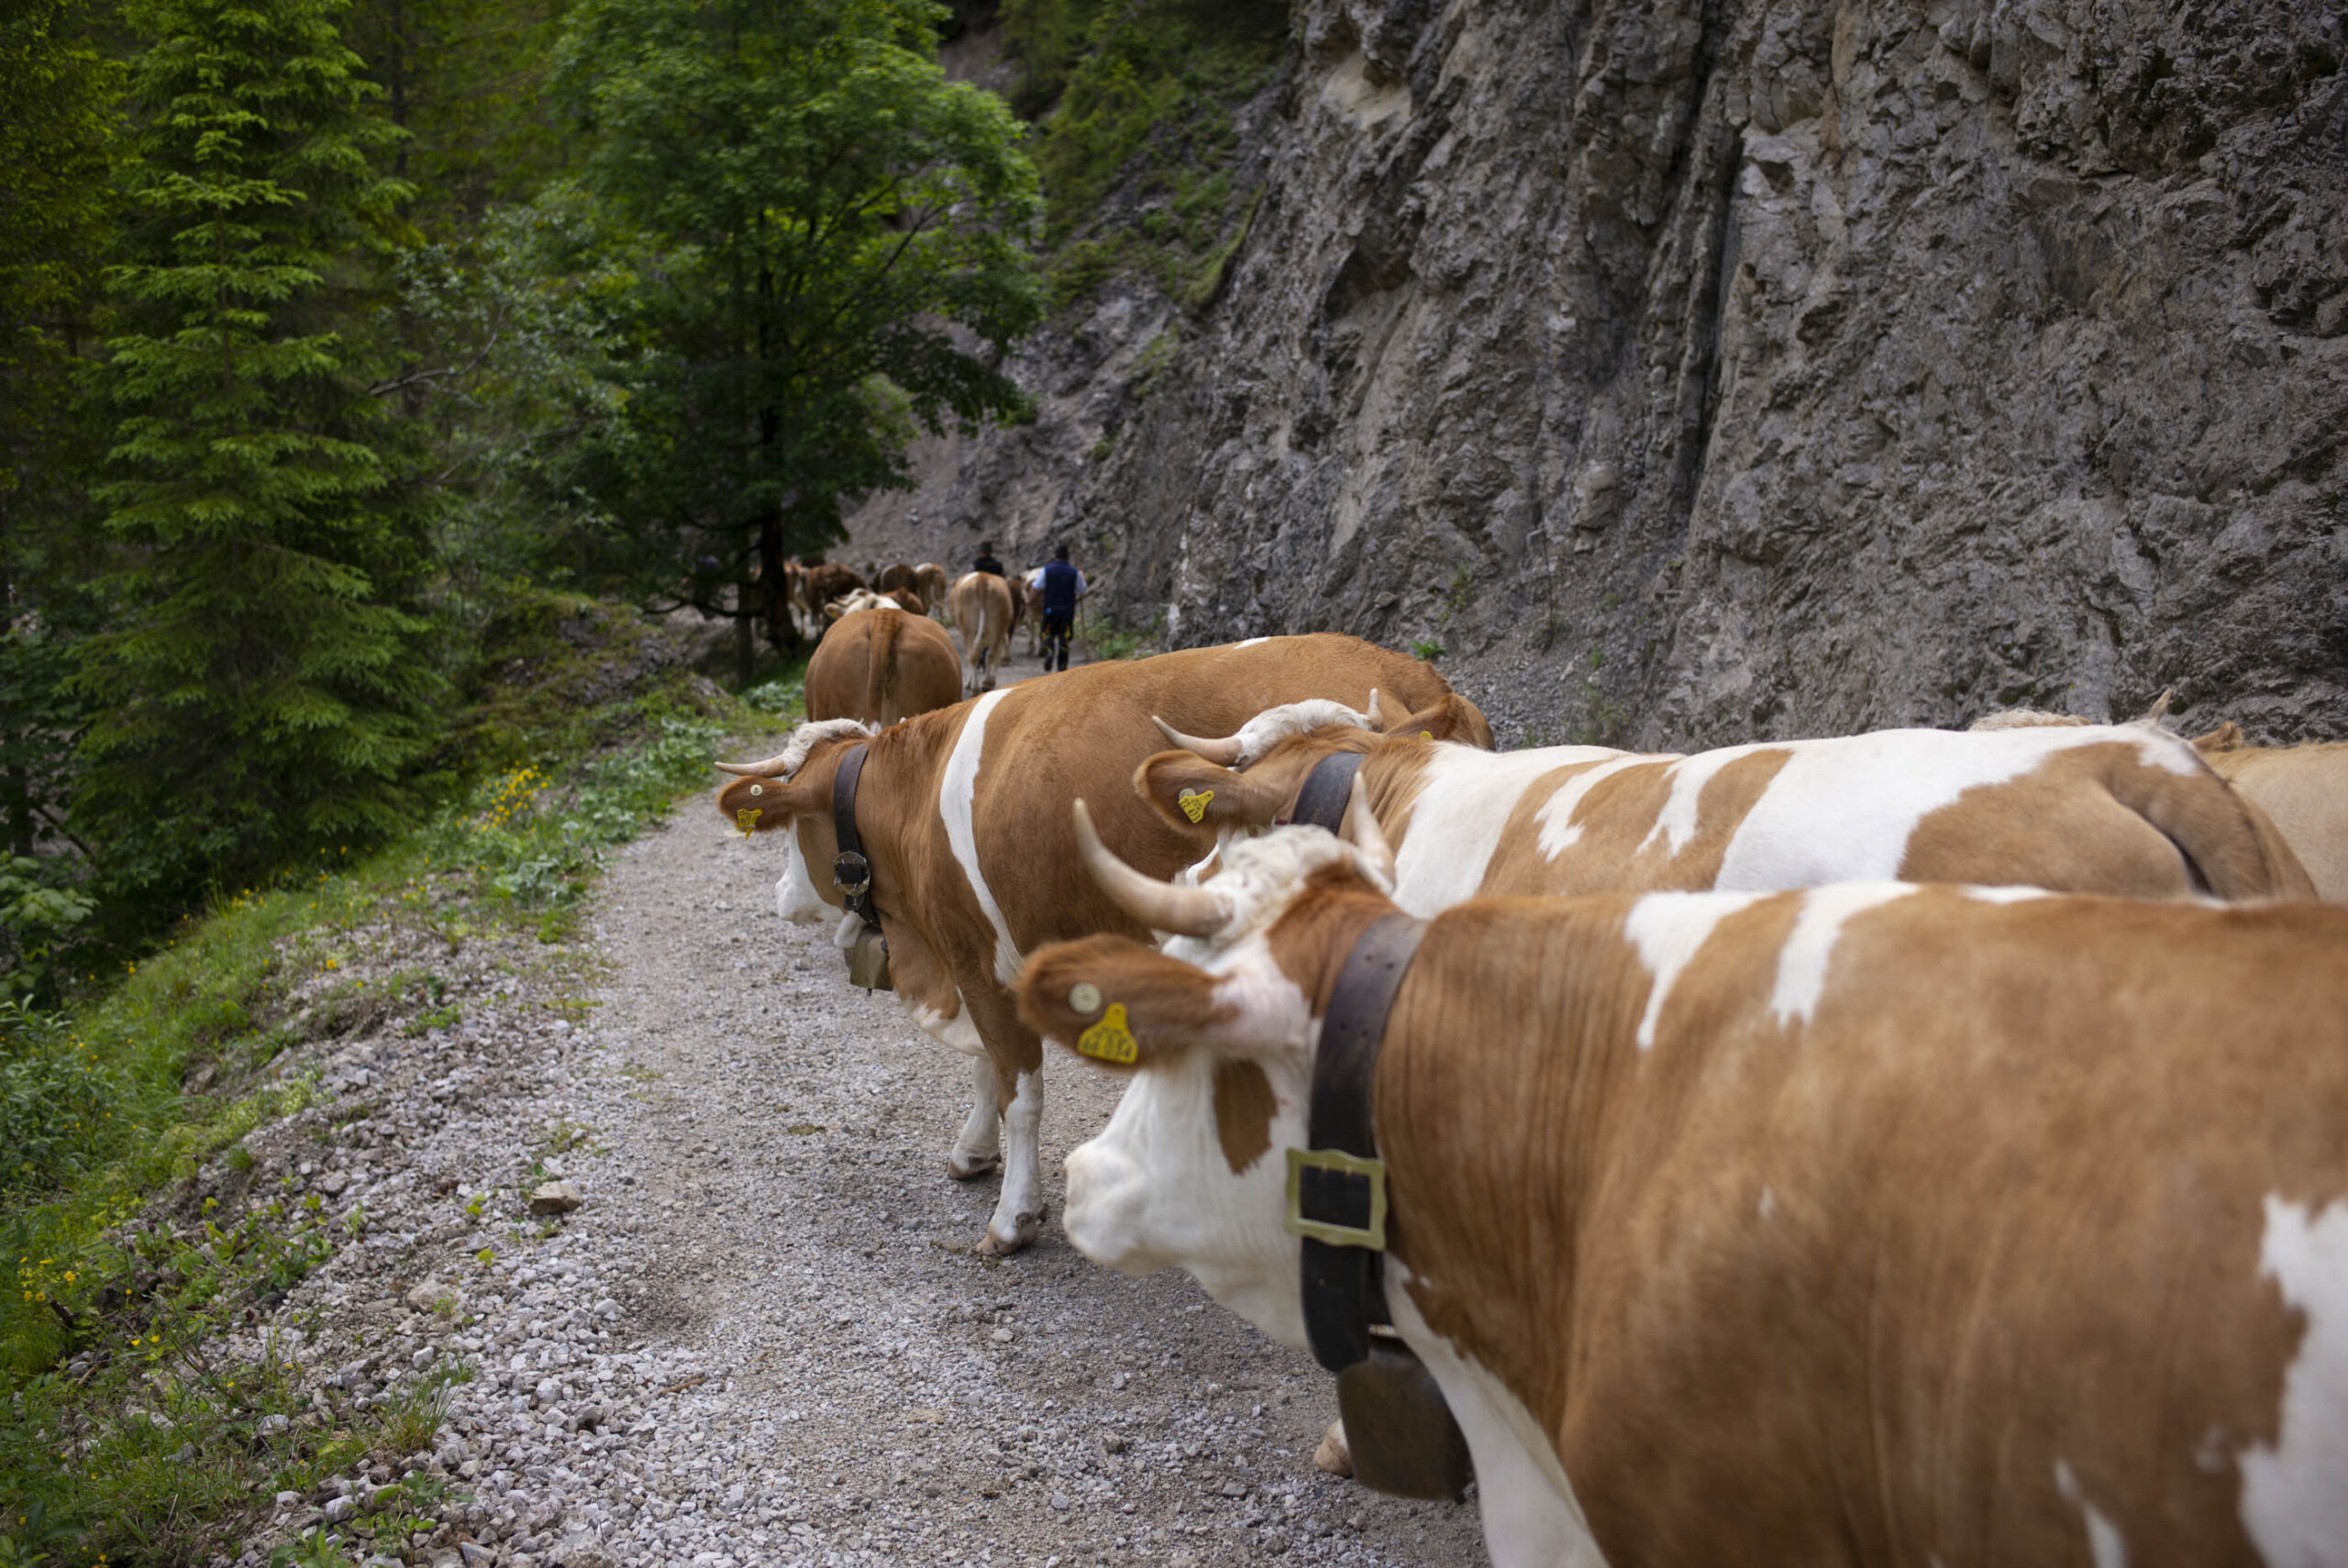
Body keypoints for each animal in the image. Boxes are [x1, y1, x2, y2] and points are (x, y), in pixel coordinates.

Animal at [709, 629, 1465, 1258]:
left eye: (791, 831)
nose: (780, 893)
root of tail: (1423, 680)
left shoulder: (979, 959)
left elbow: (1018, 1089)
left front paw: (1014, 1216)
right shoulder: (971, 960)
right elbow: (986, 1067)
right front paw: (973, 1151)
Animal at [948, 570, 1013, 690]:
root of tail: (982, 577)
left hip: (969, 630)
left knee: (973, 655)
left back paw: (976, 686)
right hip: (996, 626)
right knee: (989, 654)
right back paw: (987, 683)